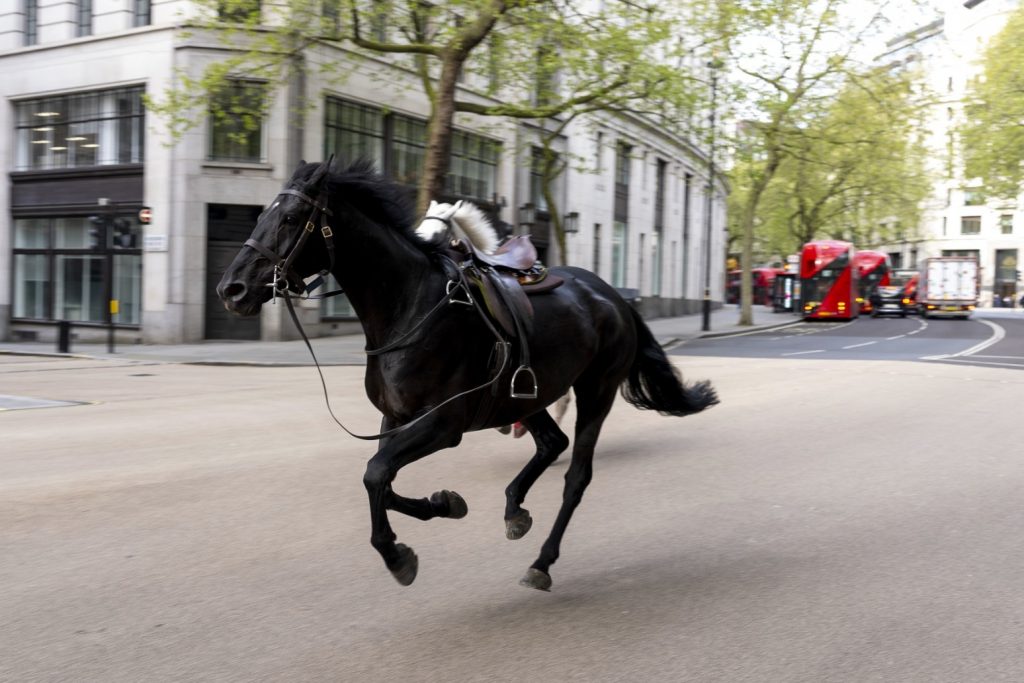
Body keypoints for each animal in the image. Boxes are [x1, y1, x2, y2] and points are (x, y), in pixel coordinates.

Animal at [216, 158, 719, 591]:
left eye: (291, 217)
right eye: (262, 213)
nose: (231, 289)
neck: (409, 307)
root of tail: (613, 296)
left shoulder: (442, 424)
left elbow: (375, 474)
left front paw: (397, 555)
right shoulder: (396, 419)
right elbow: (382, 479)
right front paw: (444, 503)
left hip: (596, 390)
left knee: (576, 476)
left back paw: (542, 562)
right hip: (526, 394)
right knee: (551, 443)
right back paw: (515, 508)